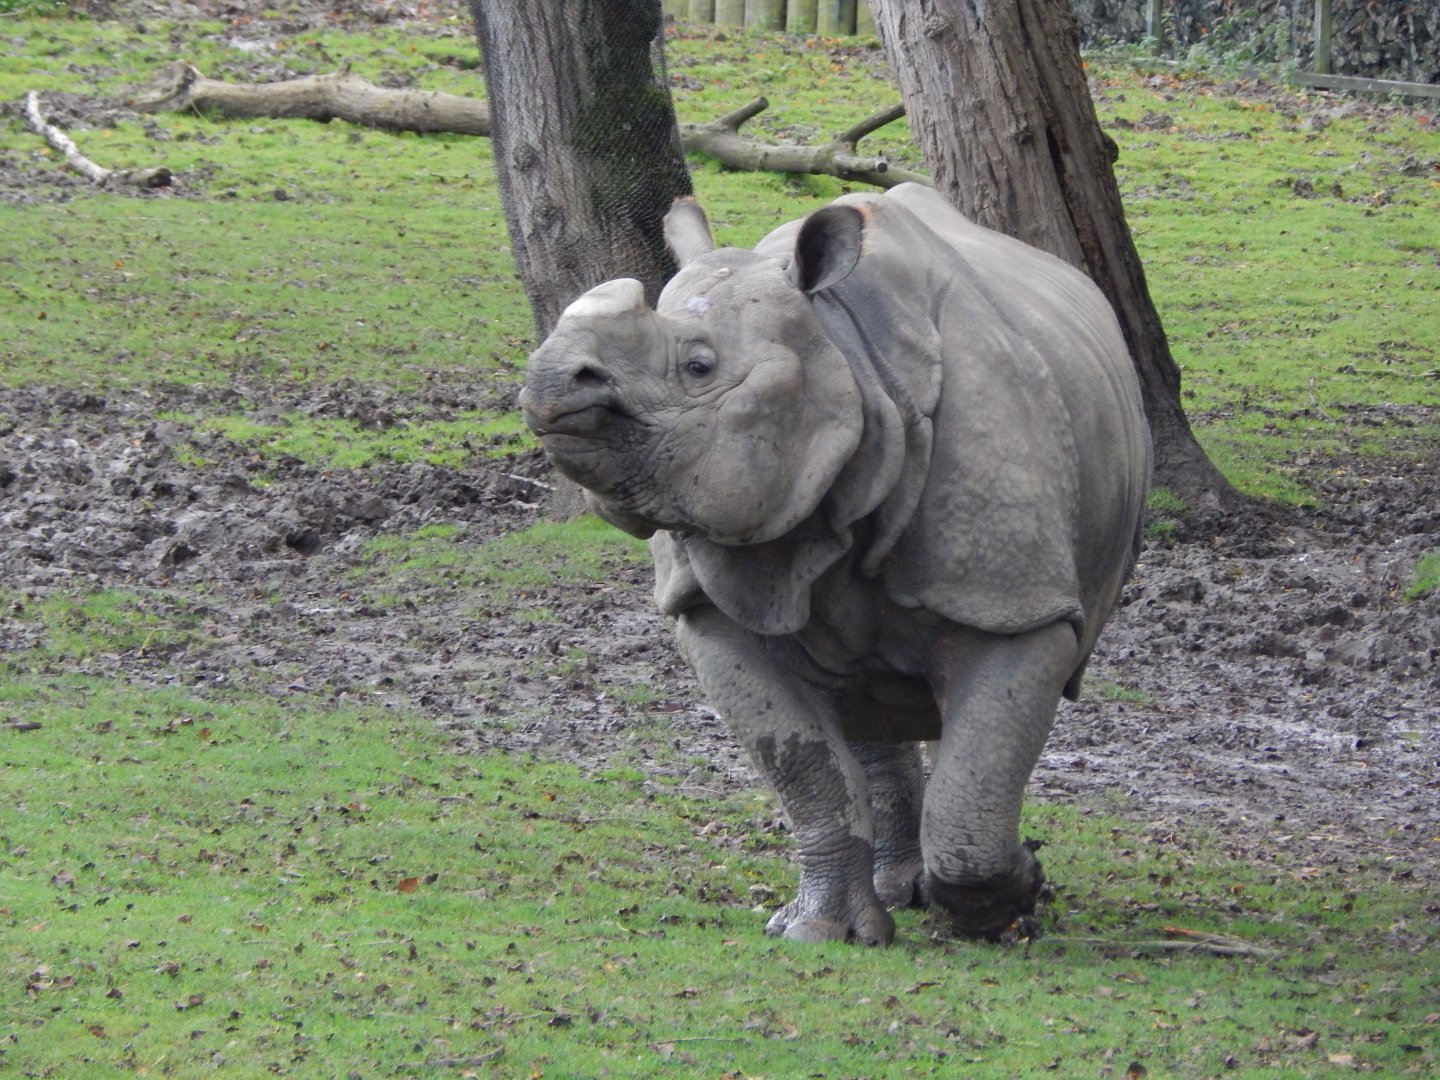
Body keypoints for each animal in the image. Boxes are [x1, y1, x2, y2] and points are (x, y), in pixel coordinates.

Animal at [519, 183, 1151, 944]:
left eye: (699, 366)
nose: (553, 378)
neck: (842, 354)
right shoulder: (708, 601)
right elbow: (805, 767)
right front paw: (817, 931)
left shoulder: (1013, 602)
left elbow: (977, 777)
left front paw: (1018, 895)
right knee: (868, 704)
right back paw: (897, 892)